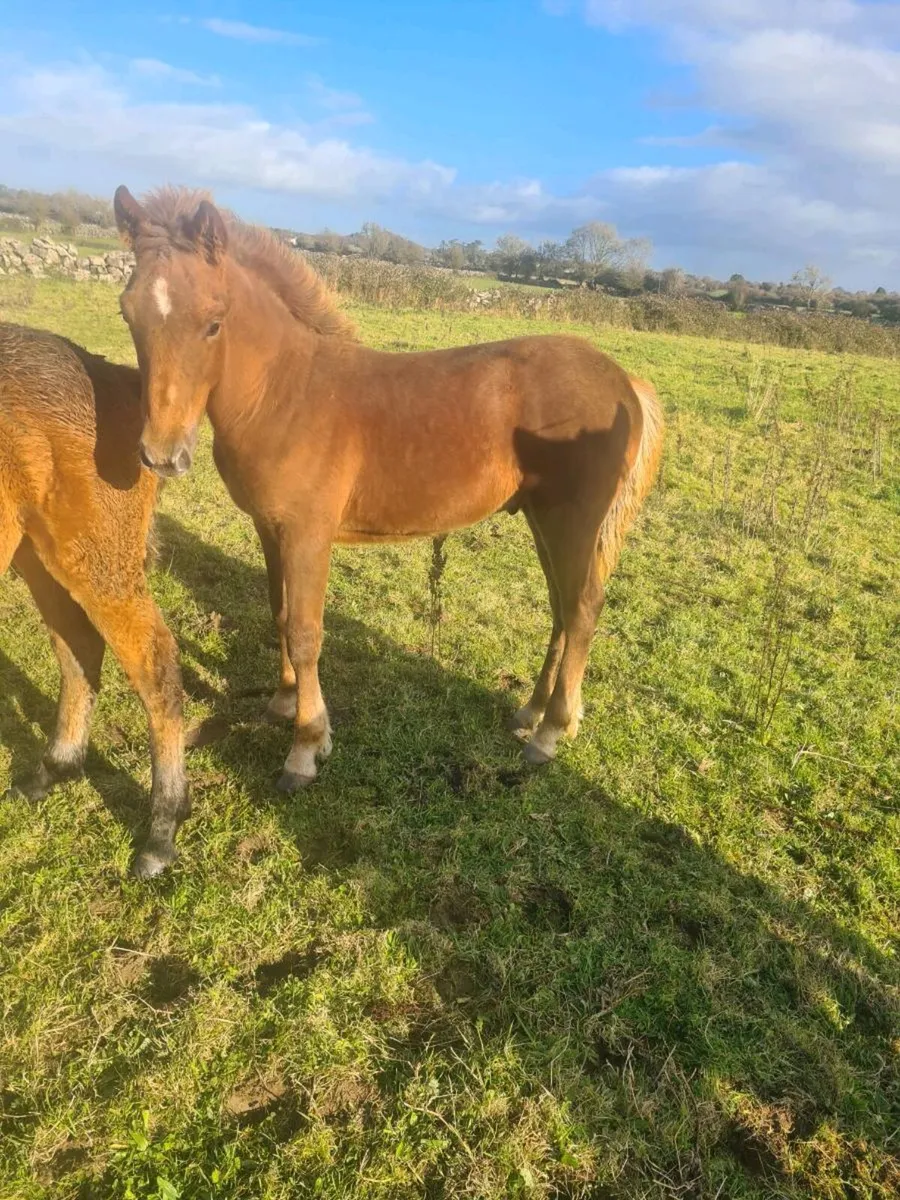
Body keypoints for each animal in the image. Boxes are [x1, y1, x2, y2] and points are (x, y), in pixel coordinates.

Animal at [0, 322, 188, 878]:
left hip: (92, 558)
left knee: (154, 663)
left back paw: (161, 831)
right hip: (38, 553)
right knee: (79, 648)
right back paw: (54, 769)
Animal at [112, 185, 664, 793]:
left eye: (214, 322)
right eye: (127, 313)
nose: (162, 454)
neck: (286, 393)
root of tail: (624, 382)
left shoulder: (307, 534)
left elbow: (305, 632)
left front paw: (306, 747)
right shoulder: (270, 528)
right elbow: (279, 613)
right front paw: (283, 703)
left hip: (573, 520)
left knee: (583, 607)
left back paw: (549, 734)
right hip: (544, 519)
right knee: (562, 608)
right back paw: (532, 712)